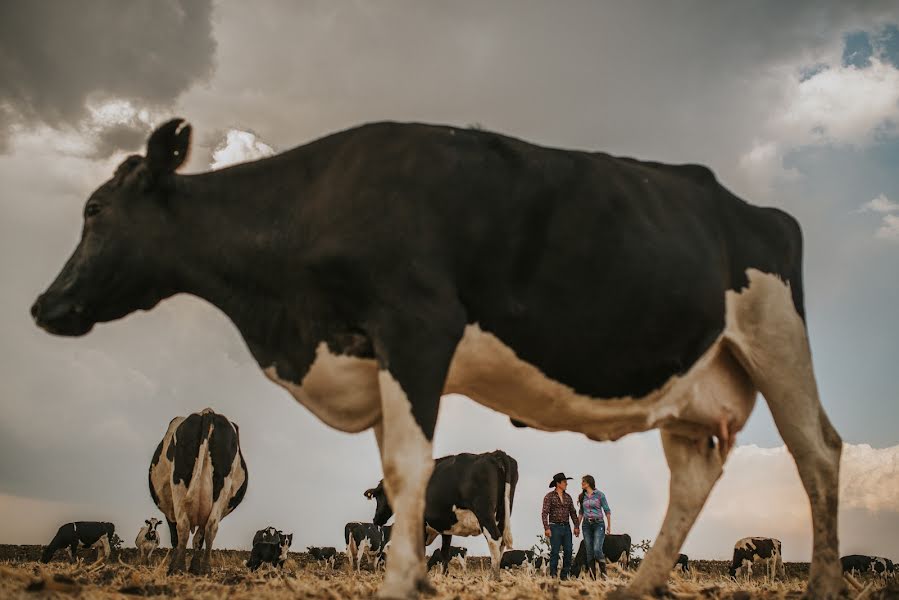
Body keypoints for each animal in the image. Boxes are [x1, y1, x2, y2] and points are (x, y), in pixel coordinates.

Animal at [149, 410, 250, 576]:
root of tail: (208, 412)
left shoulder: (170, 511)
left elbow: (176, 538)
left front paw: (174, 566)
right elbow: (199, 538)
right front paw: (195, 567)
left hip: (178, 482)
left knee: (182, 527)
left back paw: (179, 568)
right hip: (222, 486)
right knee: (211, 527)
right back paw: (205, 569)